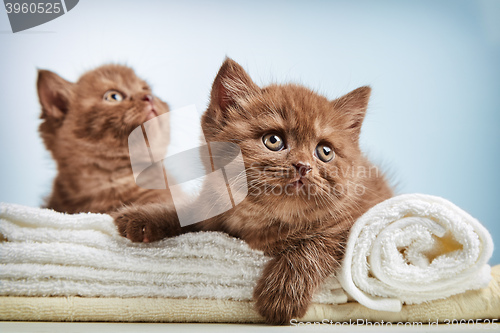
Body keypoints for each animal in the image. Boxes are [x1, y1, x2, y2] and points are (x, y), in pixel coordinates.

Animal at [112, 58, 390, 322]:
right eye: (273, 140)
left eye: (325, 152)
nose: (303, 166)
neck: (262, 219)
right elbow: (188, 213)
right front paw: (143, 217)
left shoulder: (361, 219)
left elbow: (318, 242)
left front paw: (282, 292)